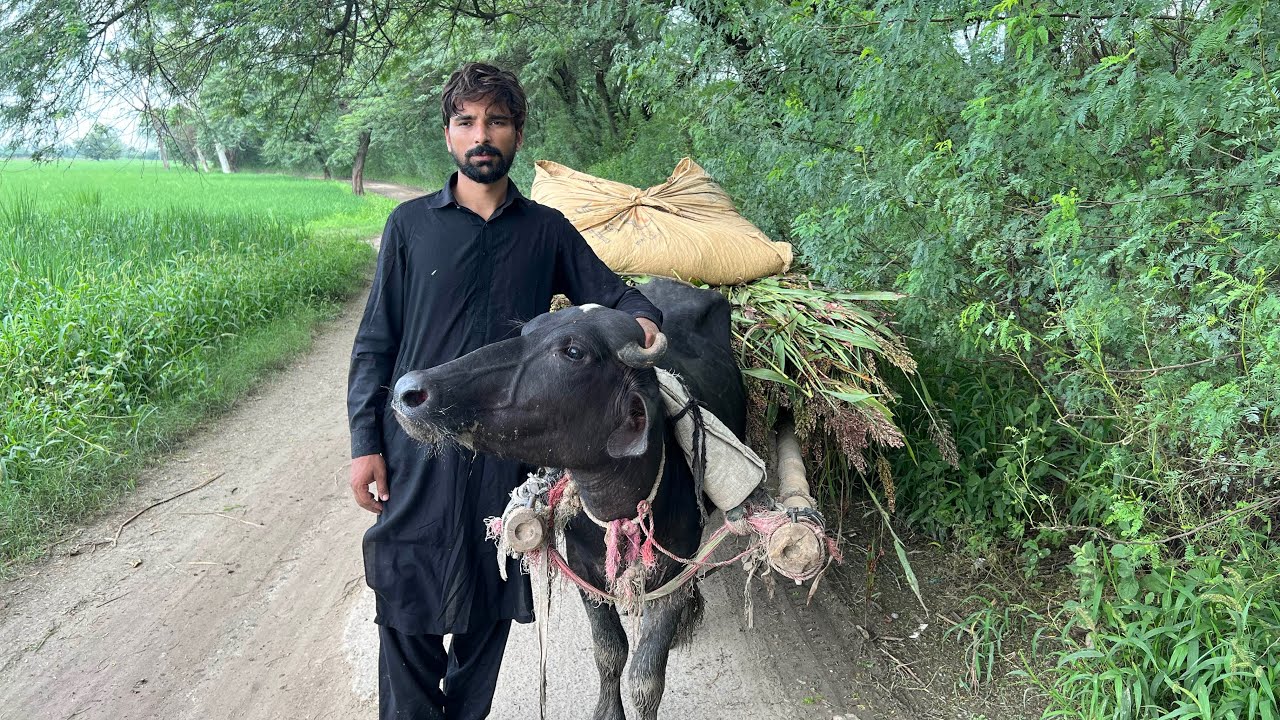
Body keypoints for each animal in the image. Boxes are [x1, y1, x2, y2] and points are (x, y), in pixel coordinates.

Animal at [392, 277, 746, 720]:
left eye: (573, 352)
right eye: (528, 331)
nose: (409, 390)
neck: (618, 511)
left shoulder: (672, 574)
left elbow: (646, 677)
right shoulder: (583, 567)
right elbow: (610, 651)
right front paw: (607, 711)